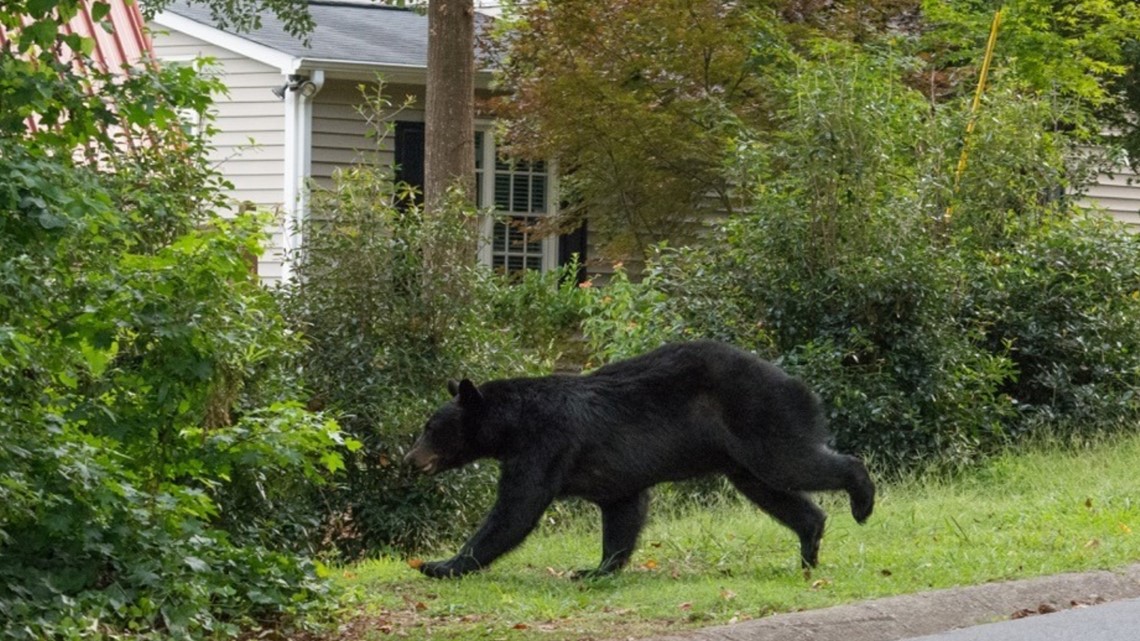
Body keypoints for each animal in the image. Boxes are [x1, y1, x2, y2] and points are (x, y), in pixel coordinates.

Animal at [404, 340, 875, 579]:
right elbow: (622, 509)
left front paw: (440, 564)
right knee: (772, 490)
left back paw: (862, 500)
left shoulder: (545, 444)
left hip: (759, 418)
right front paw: (596, 569)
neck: (512, 425)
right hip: (739, 456)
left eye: (430, 426)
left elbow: (516, 508)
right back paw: (809, 546)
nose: (410, 458)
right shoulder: (614, 472)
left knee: (792, 463)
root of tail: (799, 382)